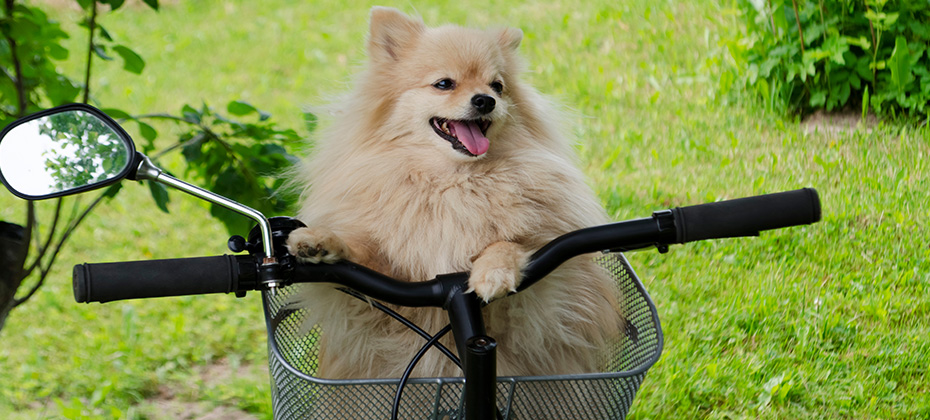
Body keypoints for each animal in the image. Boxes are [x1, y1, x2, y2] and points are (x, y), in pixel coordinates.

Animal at [282, 7, 616, 388]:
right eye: (444, 84)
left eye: (497, 86)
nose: (485, 100)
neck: (452, 182)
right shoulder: (384, 292)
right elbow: (359, 253)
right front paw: (318, 240)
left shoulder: (549, 294)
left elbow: (510, 244)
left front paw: (494, 271)